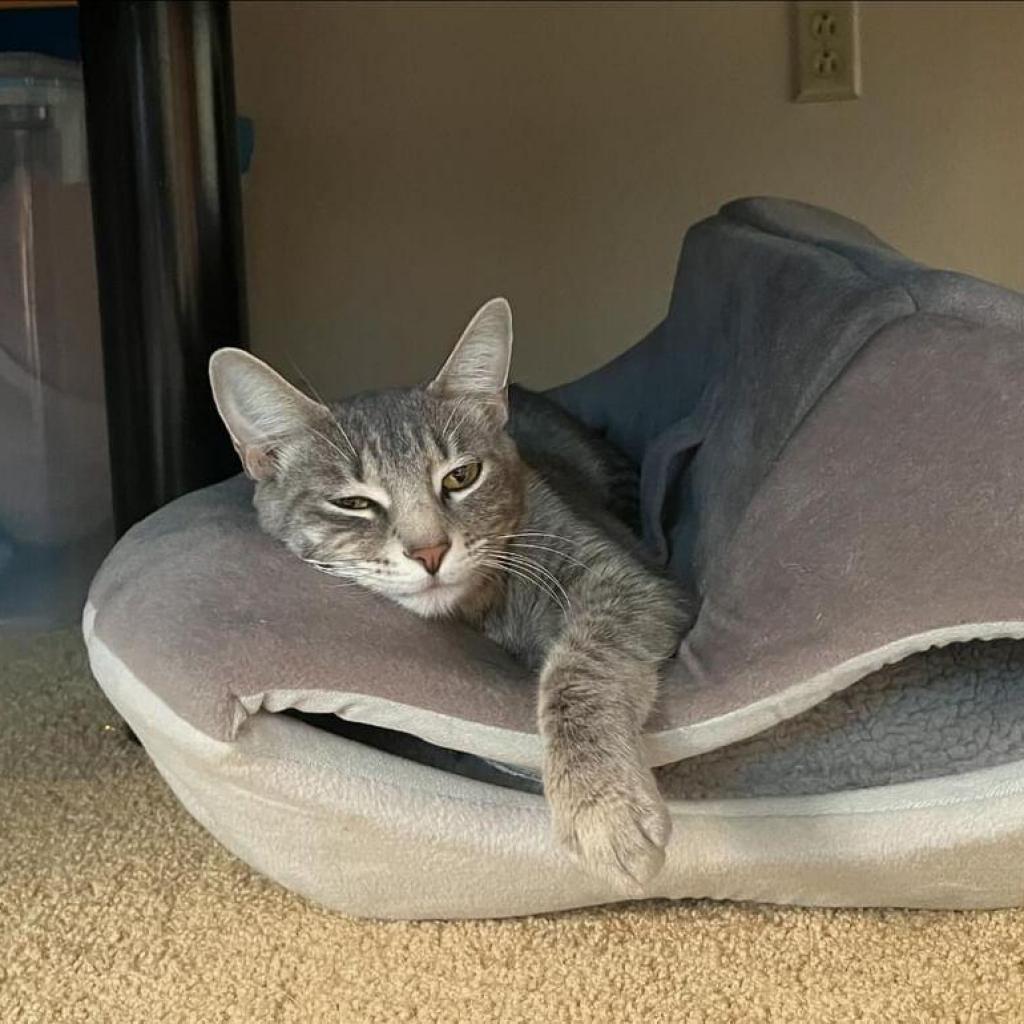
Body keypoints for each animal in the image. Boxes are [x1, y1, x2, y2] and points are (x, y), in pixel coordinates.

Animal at [207, 296, 696, 888]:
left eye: (461, 476)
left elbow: (579, 668)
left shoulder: (628, 578)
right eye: (353, 503)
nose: (430, 551)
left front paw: (602, 801)